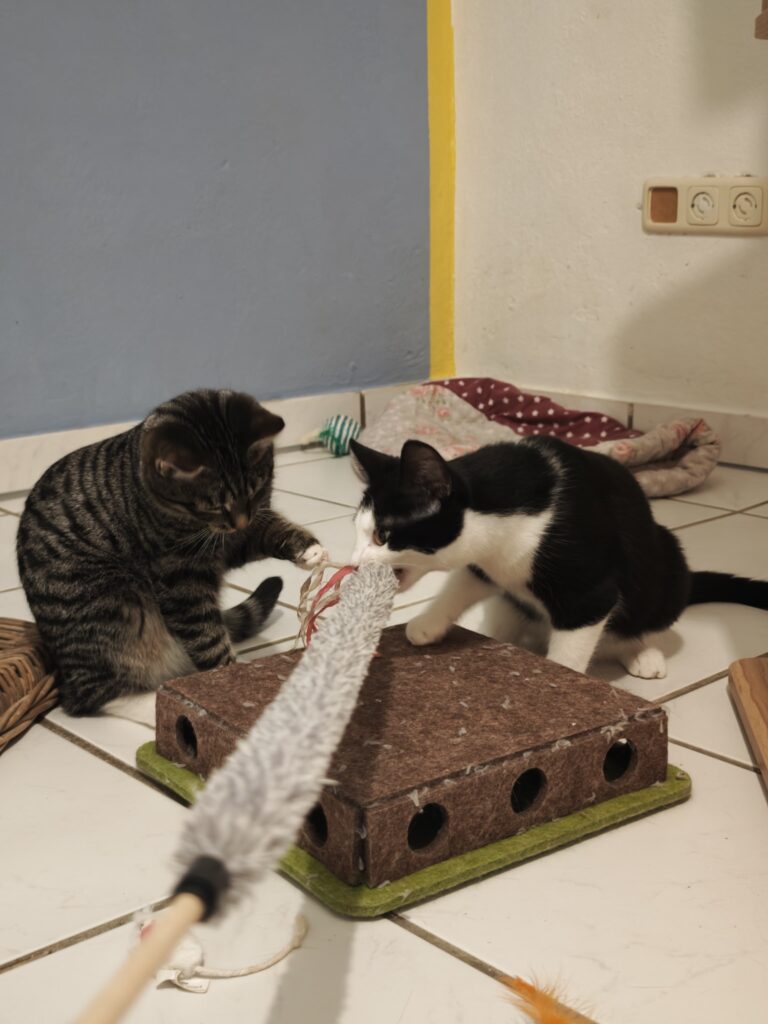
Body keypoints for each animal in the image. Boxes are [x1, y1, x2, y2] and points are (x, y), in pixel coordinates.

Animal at [17, 389, 327, 715]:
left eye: (255, 491)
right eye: (214, 506)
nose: (240, 520)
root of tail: (65, 672)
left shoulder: (237, 538)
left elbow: (267, 530)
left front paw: (308, 550)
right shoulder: (180, 579)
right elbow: (207, 637)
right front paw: (223, 684)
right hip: (109, 606)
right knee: (100, 695)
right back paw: (159, 699)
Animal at [349, 436, 768, 679]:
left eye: (382, 535)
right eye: (356, 529)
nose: (352, 563)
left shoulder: (588, 589)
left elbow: (573, 647)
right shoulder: (488, 565)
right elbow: (464, 582)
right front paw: (428, 623)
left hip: (668, 564)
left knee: (642, 617)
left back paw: (641, 653)